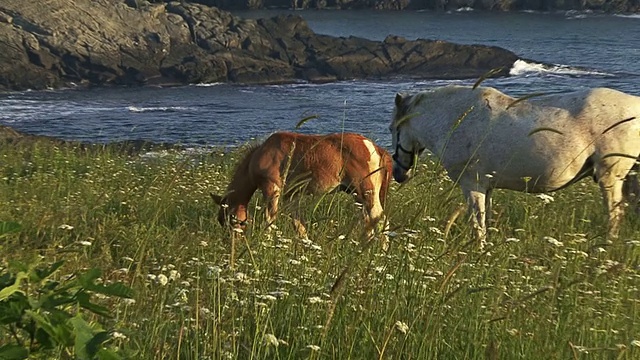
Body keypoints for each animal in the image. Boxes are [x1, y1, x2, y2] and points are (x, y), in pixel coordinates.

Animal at [212, 131, 392, 238]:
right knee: (368, 221)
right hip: (357, 195)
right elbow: (298, 223)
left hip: (366, 192)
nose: (230, 240)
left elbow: (269, 218)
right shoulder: (291, 194)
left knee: (380, 219)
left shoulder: (272, 189)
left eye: (226, 218)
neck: (263, 153)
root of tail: (376, 148)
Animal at [390, 85, 640, 246]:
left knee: (614, 216)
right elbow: (485, 220)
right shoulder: (487, 187)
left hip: (611, 178)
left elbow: (477, 223)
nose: (399, 174)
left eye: (394, 128)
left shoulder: (472, 184)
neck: (456, 118)